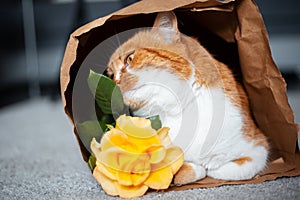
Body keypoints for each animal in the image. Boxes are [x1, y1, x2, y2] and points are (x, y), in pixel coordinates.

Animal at [106, 11, 270, 186]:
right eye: (110, 75)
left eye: (130, 59)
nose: (115, 83)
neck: (178, 110)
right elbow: (185, 170)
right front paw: (198, 168)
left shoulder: (259, 146)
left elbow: (228, 169)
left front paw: (211, 165)